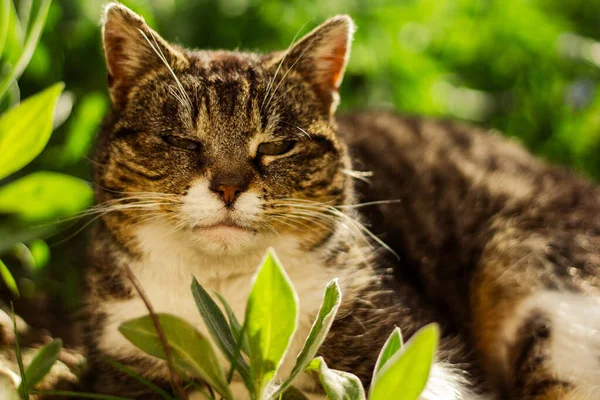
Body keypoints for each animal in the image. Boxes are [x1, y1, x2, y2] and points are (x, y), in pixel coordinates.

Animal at [83, 3, 600, 400]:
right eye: (181, 141)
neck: (230, 294)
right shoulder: (125, 357)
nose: (228, 188)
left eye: (276, 146)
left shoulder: (409, 347)